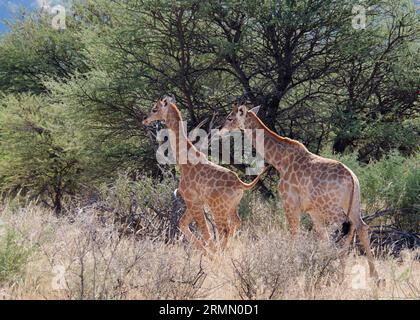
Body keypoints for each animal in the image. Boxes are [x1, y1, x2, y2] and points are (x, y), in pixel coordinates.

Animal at [143, 96, 264, 251]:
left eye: (155, 109)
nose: (145, 119)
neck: (184, 162)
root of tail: (240, 184)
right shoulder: (195, 202)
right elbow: (183, 224)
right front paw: (205, 251)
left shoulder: (192, 201)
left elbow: (205, 231)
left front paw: (209, 252)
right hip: (231, 207)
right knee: (236, 223)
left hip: (218, 208)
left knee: (223, 229)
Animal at [221, 102, 378, 278]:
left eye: (230, 118)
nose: (220, 129)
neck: (279, 160)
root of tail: (351, 178)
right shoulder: (312, 211)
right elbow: (322, 238)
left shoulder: (290, 204)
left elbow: (294, 234)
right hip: (353, 204)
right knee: (361, 226)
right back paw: (371, 275)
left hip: (332, 208)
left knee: (347, 226)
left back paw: (343, 269)